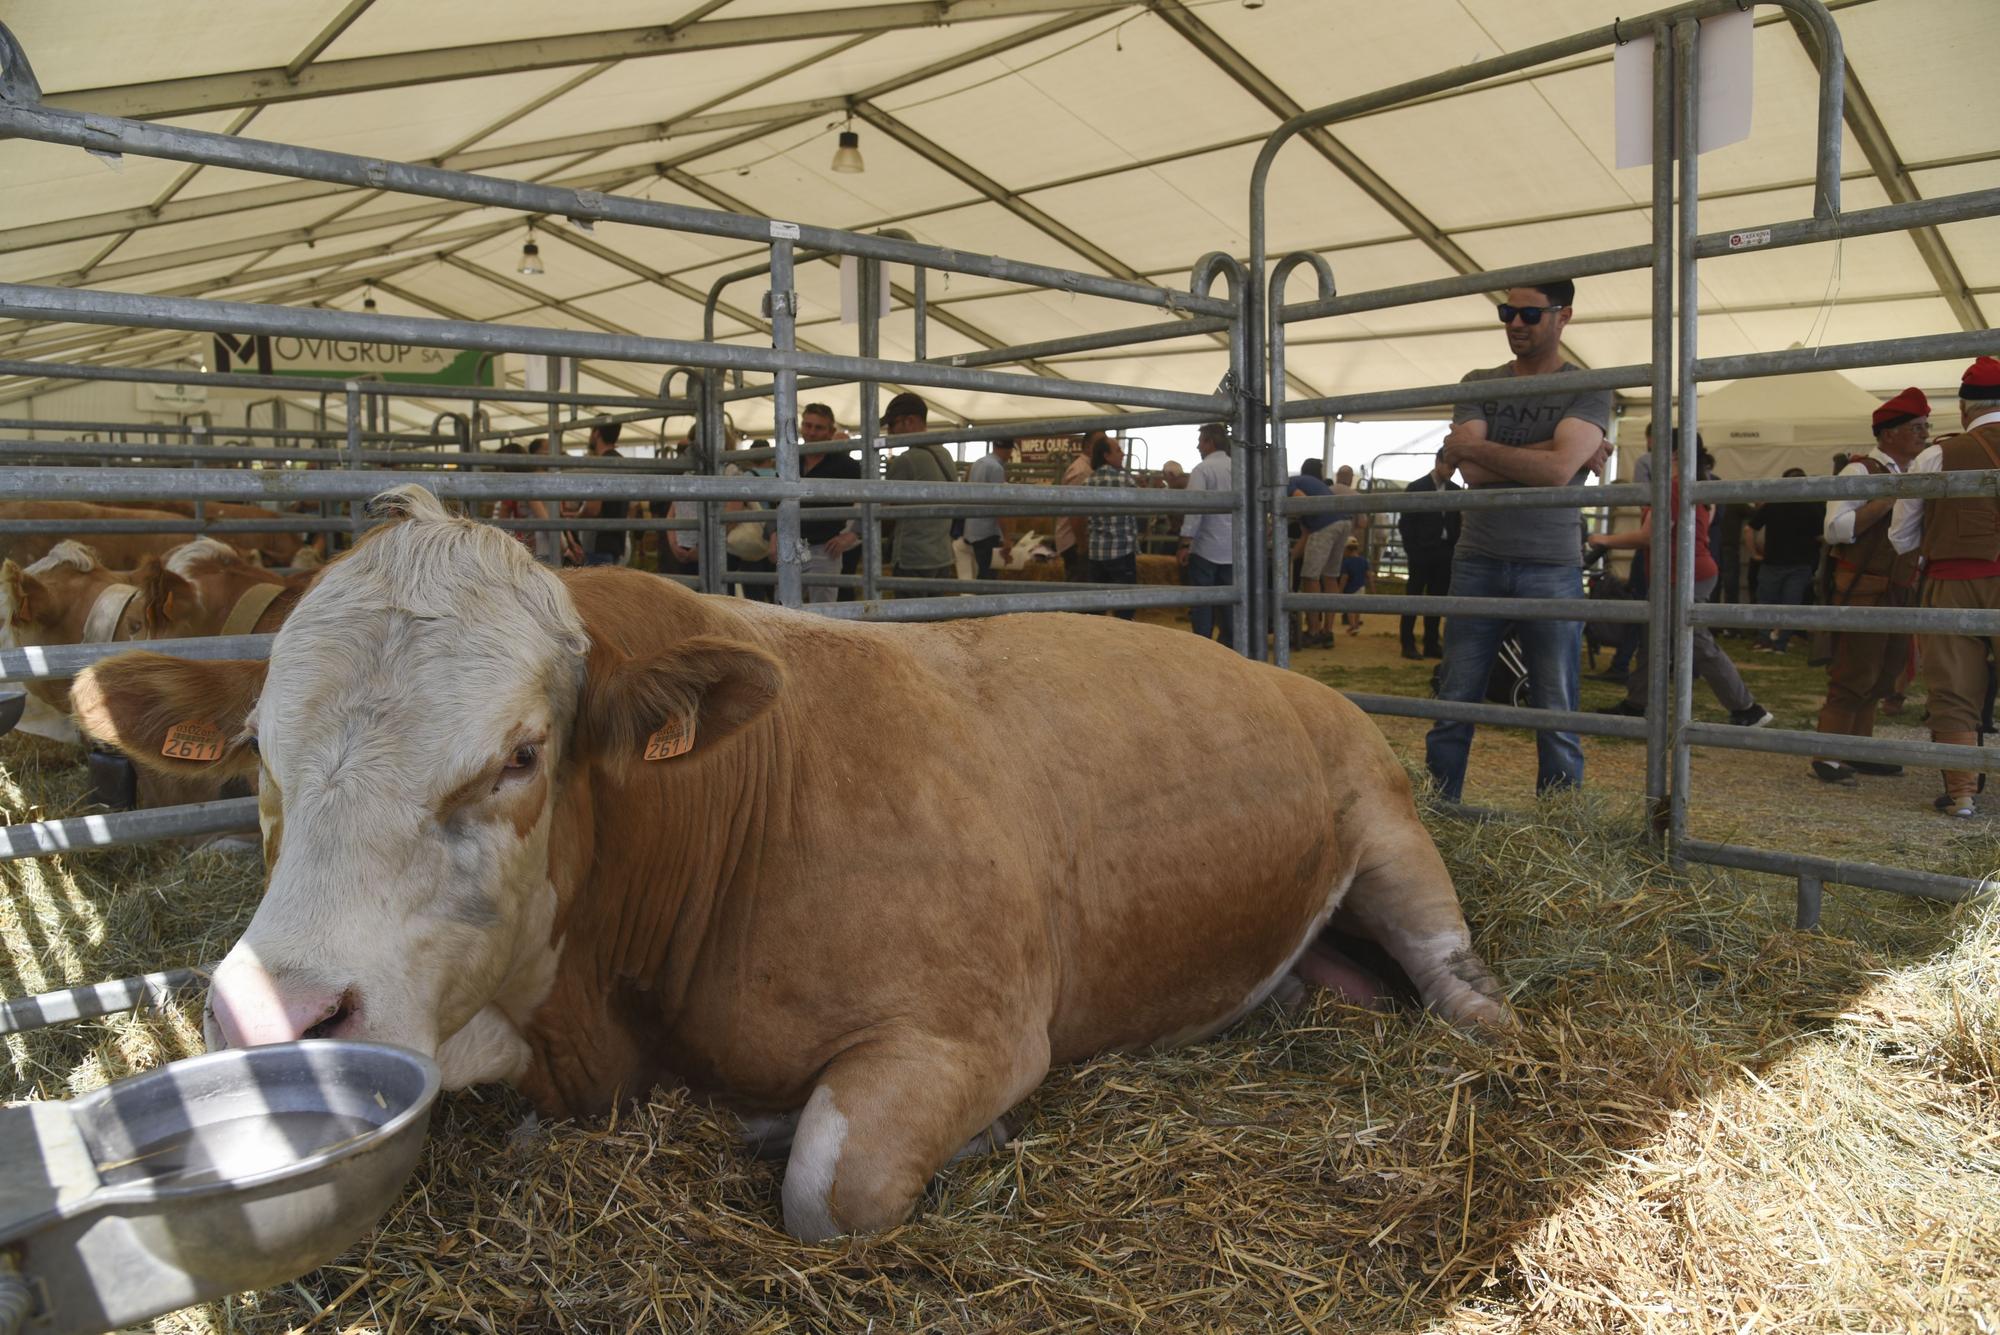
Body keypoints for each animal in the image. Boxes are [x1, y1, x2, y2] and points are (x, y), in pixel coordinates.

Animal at [78, 487, 1512, 1239]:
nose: (274, 1016)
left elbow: (830, 1183)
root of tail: (1287, 670)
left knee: (1461, 987)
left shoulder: (974, 1025)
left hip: (1390, 834)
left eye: (522, 754)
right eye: (257, 748)